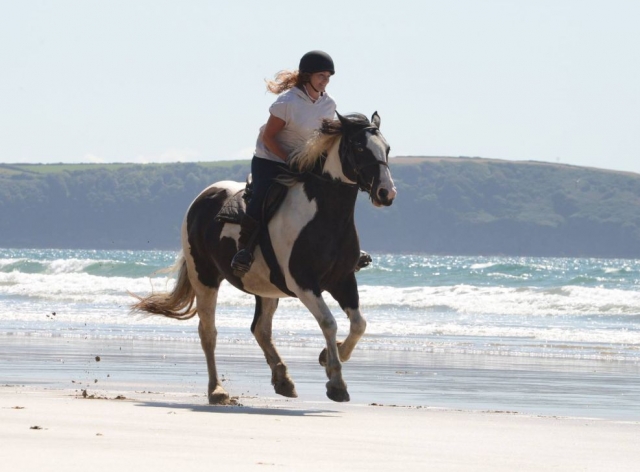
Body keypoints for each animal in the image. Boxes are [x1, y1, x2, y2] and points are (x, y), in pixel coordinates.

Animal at [131, 112, 397, 404]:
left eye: (387, 149)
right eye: (359, 148)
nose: (386, 193)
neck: (323, 216)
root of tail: (202, 198)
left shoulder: (343, 280)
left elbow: (359, 324)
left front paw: (330, 355)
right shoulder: (304, 284)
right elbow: (329, 322)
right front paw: (336, 382)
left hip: (266, 287)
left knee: (260, 329)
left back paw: (282, 379)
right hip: (205, 277)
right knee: (208, 332)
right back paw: (217, 390)